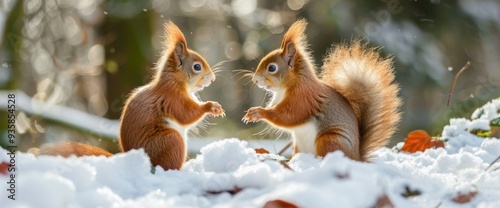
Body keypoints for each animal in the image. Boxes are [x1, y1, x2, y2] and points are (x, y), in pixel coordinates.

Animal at [42, 22, 224, 170]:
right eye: (197, 67)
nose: (213, 78)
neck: (175, 82)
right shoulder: (172, 98)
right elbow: (186, 115)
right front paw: (211, 107)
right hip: (171, 141)